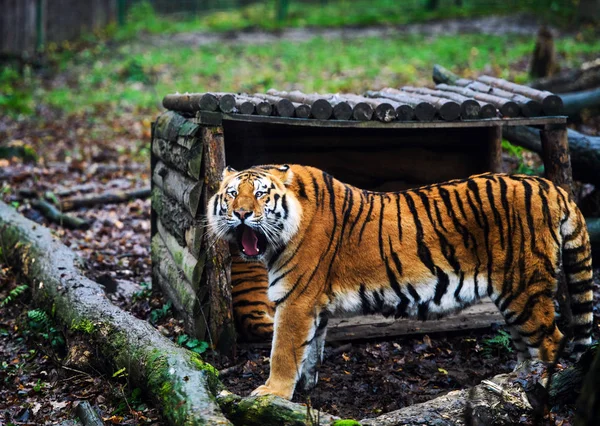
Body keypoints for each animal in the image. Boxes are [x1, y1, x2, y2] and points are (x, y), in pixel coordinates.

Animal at [207, 162, 596, 400]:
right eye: (232, 194)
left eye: (260, 194)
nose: (241, 214)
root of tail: (551, 186)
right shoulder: (313, 306)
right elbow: (311, 349)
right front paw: (303, 390)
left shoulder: (296, 300)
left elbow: (283, 351)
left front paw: (272, 393)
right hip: (514, 297)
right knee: (527, 348)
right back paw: (511, 384)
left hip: (525, 289)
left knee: (551, 342)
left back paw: (535, 390)